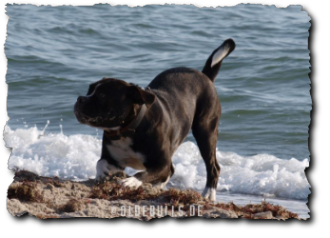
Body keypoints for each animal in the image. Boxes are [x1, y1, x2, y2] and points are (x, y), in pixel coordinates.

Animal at [74, 39, 235, 201]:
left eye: (102, 95)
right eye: (89, 90)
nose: (80, 98)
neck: (129, 130)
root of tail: (204, 76)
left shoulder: (161, 164)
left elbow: (143, 173)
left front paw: (131, 182)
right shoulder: (113, 159)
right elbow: (100, 162)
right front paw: (102, 174)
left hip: (205, 131)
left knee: (212, 167)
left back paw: (208, 194)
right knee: (172, 170)